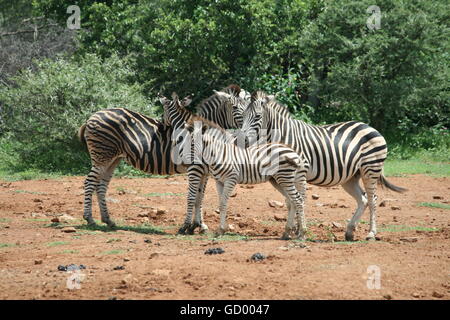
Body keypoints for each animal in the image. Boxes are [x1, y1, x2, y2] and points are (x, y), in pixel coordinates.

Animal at [79, 84, 251, 226]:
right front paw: (193, 225)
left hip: (112, 159)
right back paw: (90, 219)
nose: (246, 137)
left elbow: (199, 197)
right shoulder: (196, 168)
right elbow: (194, 196)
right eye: (235, 107)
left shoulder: (204, 171)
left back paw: (107, 220)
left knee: (101, 186)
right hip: (102, 156)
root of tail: (92, 116)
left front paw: (199, 225)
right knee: (89, 182)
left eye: (248, 107)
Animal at [167, 110, 312, 240]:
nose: (185, 162)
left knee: (298, 200)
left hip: (285, 177)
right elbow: (222, 203)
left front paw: (220, 230)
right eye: (185, 143)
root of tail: (293, 151)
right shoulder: (219, 181)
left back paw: (302, 233)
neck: (218, 154)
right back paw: (286, 233)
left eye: (193, 144)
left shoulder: (231, 179)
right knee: (291, 201)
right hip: (277, 180)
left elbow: (223, 203)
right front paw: (221, 229)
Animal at [241, 90, 406, 240]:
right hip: (350, 177)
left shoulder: (300, 172)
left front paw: (300, 231)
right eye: (242, 116)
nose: (243, 140)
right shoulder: (283, 175)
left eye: (257, 116)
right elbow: (290, 201)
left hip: (370, 169)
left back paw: (371, 233)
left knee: (372, 199)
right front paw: (290, 231)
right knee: (363, 199)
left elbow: (299, 200)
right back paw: (349, 231)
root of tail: (369, 126)